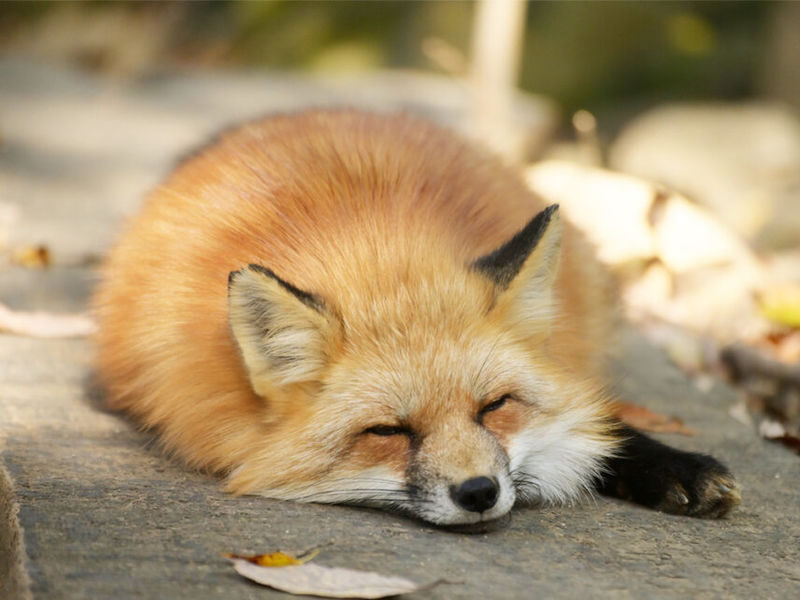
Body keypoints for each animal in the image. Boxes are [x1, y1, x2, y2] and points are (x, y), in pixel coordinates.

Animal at [93, 109, 740, 526]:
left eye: (495, 407)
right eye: (387, 432)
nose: (479, 492)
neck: (377, 250)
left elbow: (598, 419)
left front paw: (673, 466)